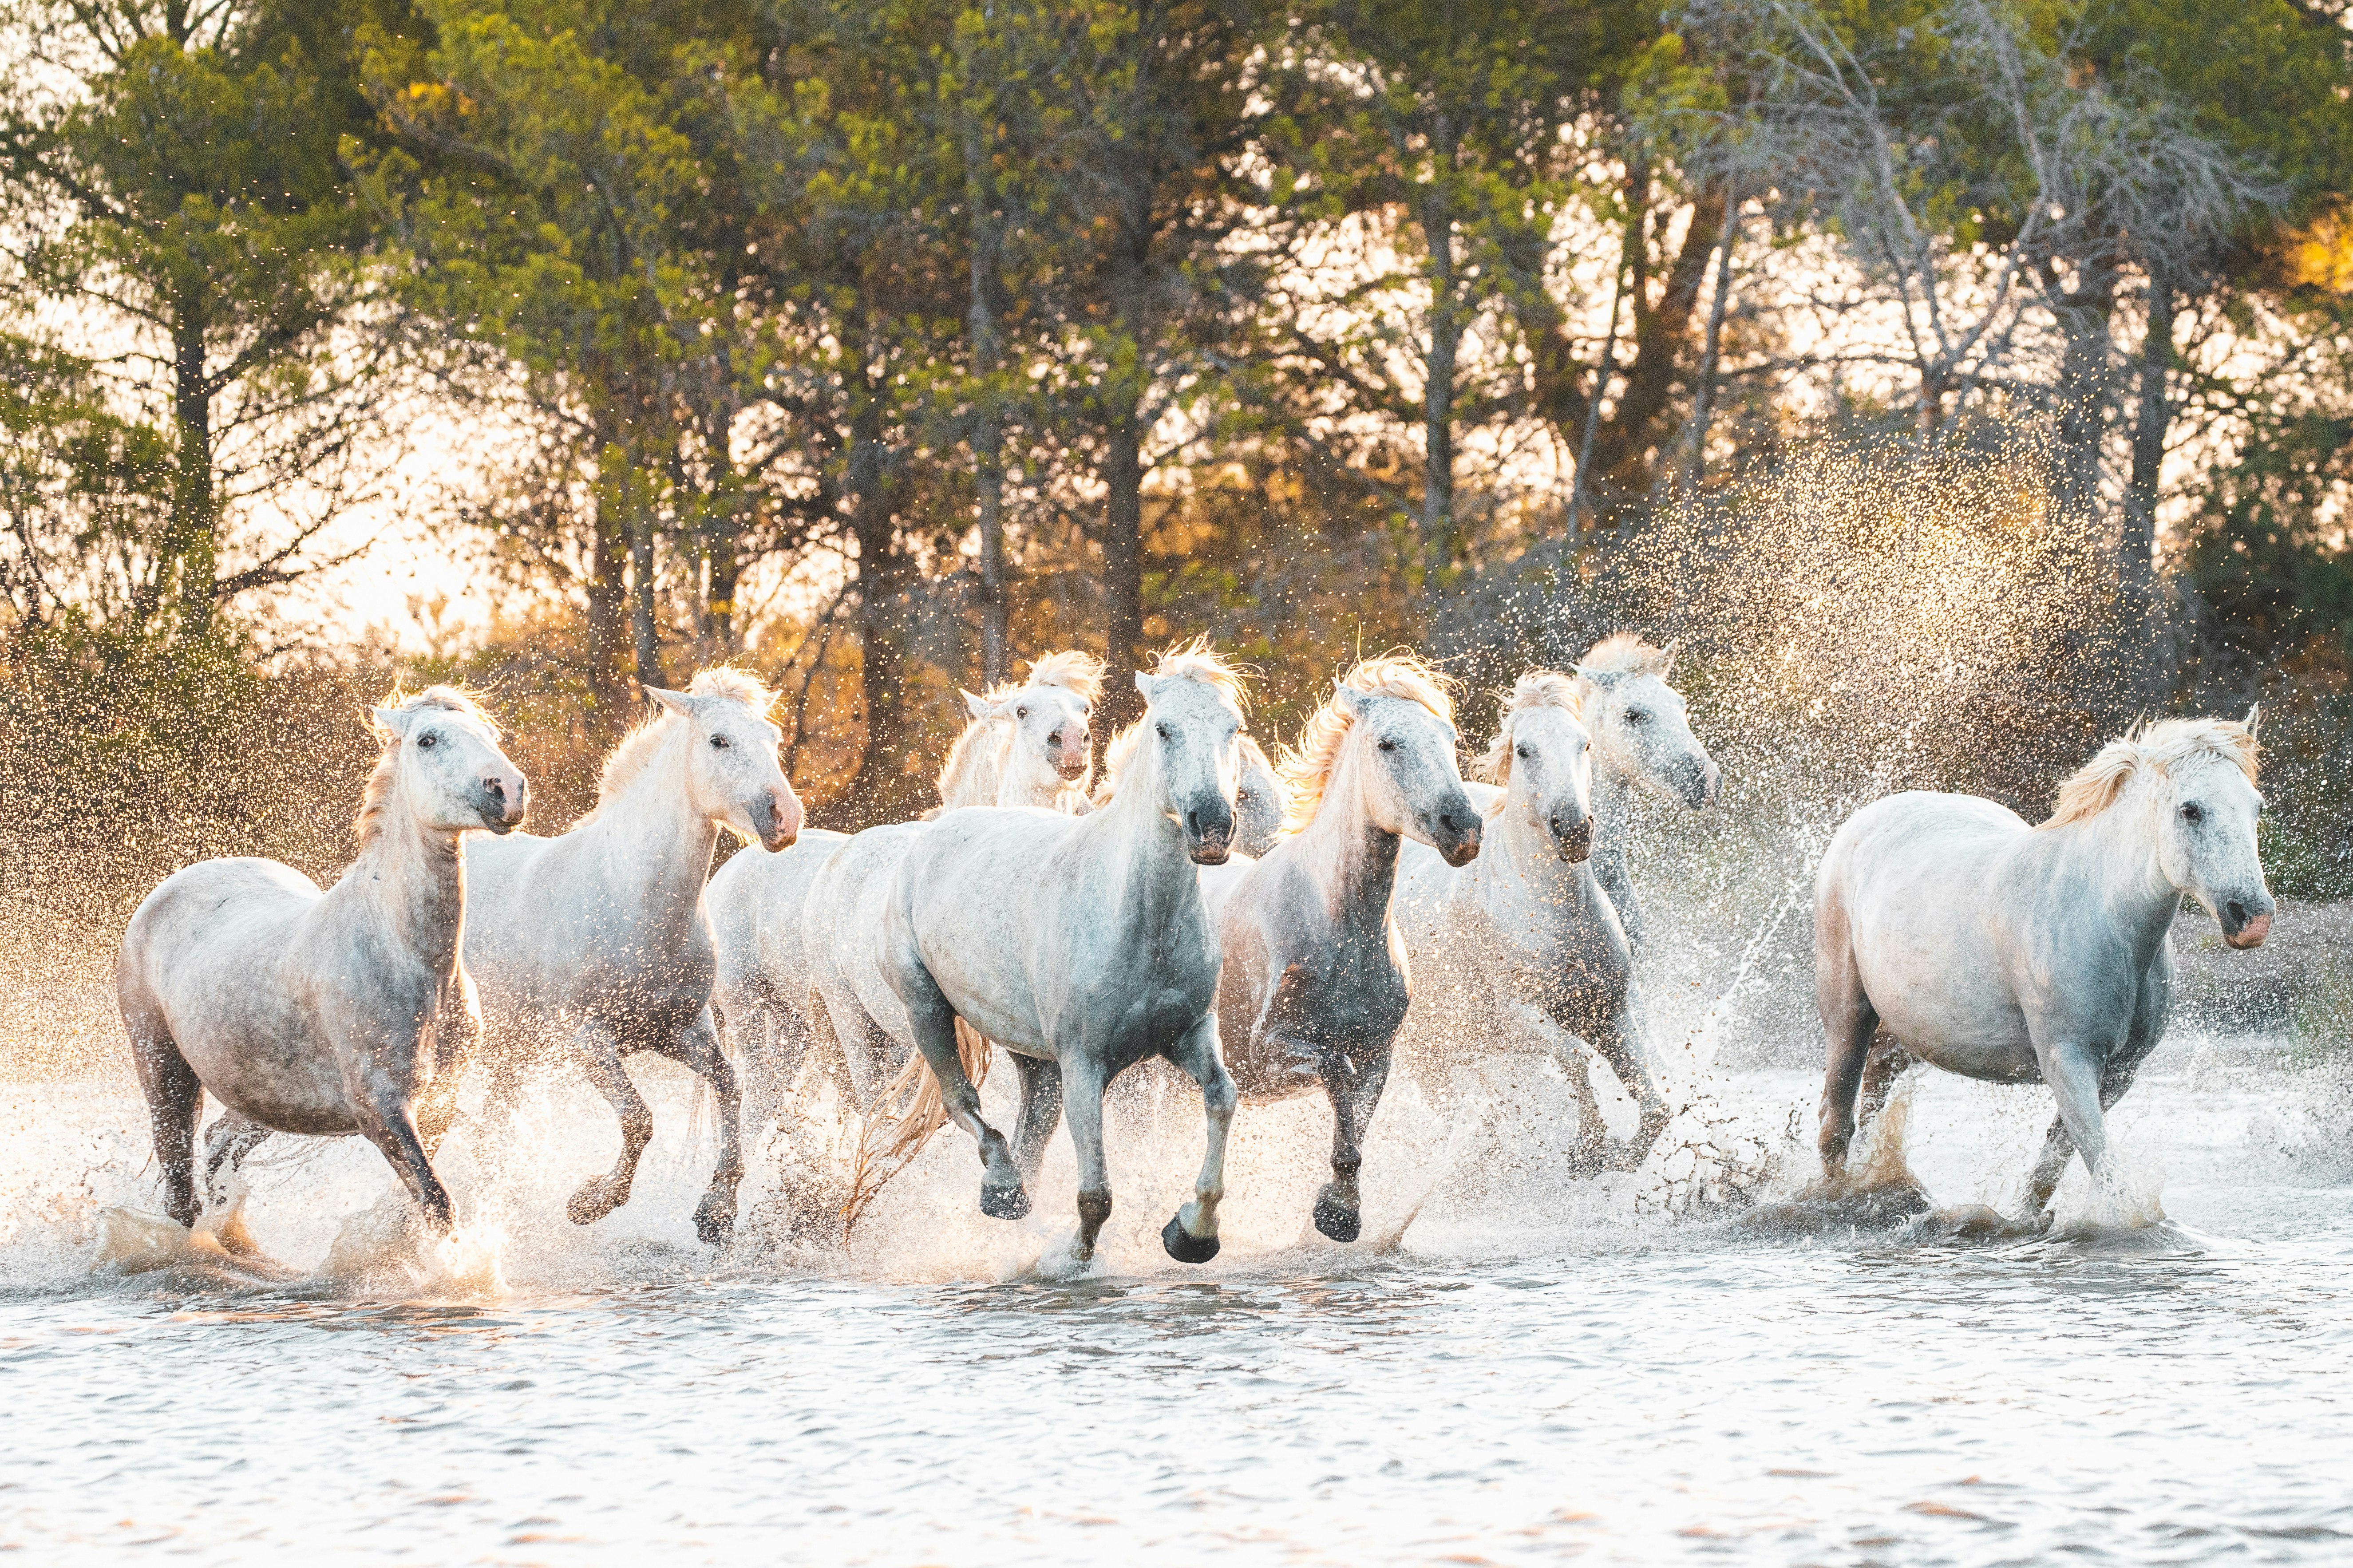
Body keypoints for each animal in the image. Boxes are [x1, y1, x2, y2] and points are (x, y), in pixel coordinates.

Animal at [118, 692, 529, 1224]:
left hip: (269, 1100)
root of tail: (165, 891)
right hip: (164, 1072)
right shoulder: (381, 1110)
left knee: (218, 1147)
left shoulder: (441, 1098)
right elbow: (438, 1203)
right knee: (180, 1191)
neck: (408, 960)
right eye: (427, 739)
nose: (508, 791)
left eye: (493, 735)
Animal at [463, 664, 804, 1243]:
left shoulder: (680, 1032)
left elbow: (731, 1088)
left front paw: (716, 1210)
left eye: (774, 739)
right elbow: (639, 1118)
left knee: (485, 1135)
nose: (785, 817)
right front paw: (591, 1201)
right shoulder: (587, 1041)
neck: (632, 900)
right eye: (719, 740)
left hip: (512, 1055)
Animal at [1205, 654, 1478, 1243]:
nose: (1464, 828)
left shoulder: (1380, 1052)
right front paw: (1336, 1213)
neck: (1342, 932)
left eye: (1449, 737)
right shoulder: (1266, 1053)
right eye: (1388, 744)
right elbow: (1337, 1072)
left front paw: (1340, 1208)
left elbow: (1357, 1116)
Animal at [1393, 664, 1675, 1168]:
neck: (1555, 913)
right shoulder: (1521, 1016)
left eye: (1585, 743)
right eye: (1524, 750)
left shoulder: (1610, 1007)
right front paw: (1589, 1148)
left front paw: (1623, 1153)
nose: (1575, 828)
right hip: (1423, 1053)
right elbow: (1575, 1058)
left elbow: (1650, 1098)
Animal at [1807, 715, 2268, 1215]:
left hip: (1905, 1033)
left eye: (2256, 807)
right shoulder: (2068, 1063)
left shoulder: (2119, 1074)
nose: (2253, 918)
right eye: (2190, 810)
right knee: (1835, 1121)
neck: (2104, 920)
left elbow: (2048, 1169)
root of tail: (1861, 821)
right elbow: (2108, 1176)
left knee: (1872, 1101)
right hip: (1847, 1014)